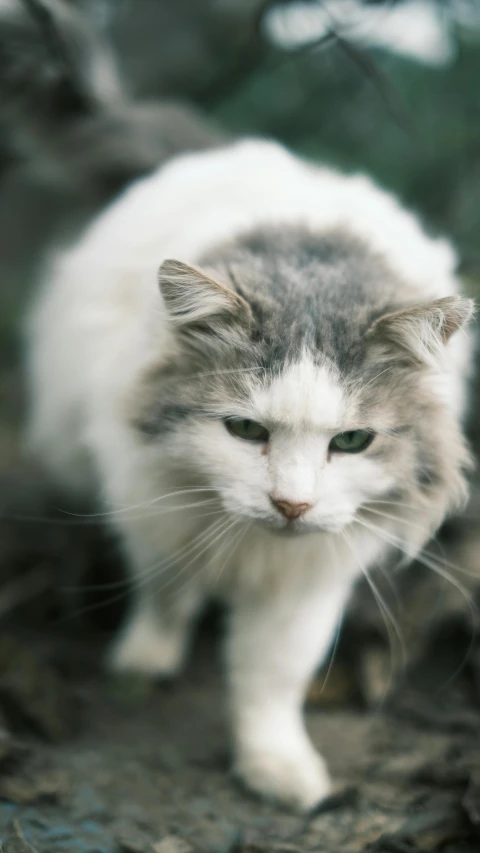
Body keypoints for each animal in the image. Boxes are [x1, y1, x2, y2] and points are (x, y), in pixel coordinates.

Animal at [1, 0, 474, 812]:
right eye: (246, 429)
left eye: (352, 442)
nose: (291, 506)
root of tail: (222, 150)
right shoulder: (152, 501)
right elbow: (164, 590)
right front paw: (146, 658)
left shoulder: (314, 570)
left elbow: (273, 678)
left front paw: (278, 770)